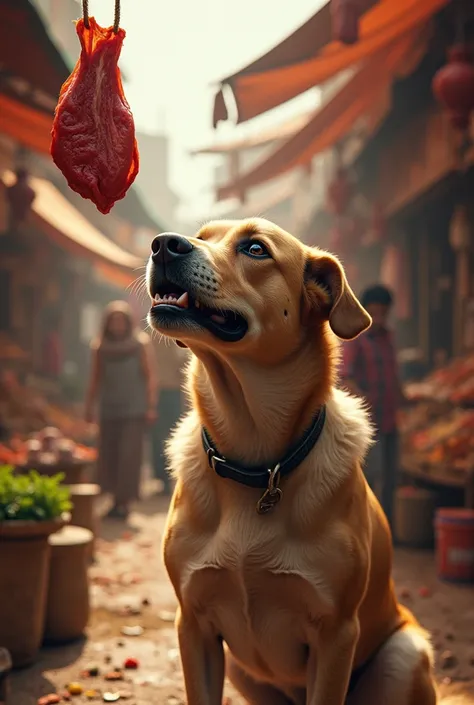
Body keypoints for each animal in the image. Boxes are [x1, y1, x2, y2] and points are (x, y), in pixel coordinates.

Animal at [147, 219, 460, 704]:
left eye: (255, 249)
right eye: (201, 234)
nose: (164, 244)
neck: (257, 459)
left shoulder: (335, 635)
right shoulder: (194, 624)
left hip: (404, 655)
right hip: (243, 671)